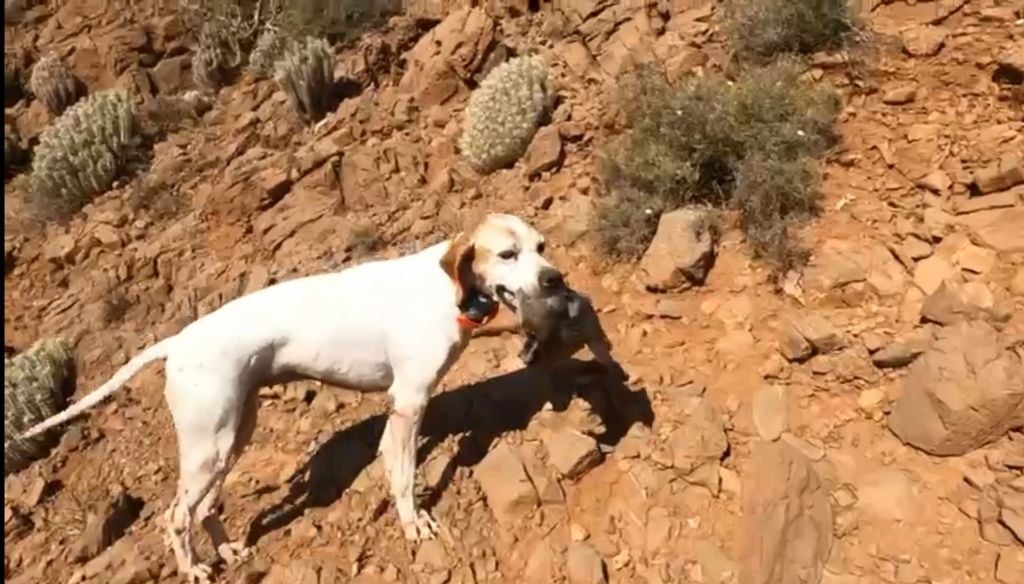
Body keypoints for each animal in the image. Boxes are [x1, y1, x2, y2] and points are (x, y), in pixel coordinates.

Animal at [19, 214, 565, 581]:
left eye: (541, 246)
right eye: (508, 254)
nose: (554, 278)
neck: (446, 286)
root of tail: (177, 342)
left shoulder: (403, 410)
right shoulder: (409, 404)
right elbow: (405, 477)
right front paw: (415, 525)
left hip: (233, 435)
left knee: (206, 508)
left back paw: (229, 553)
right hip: (208, 446)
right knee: (176, 517)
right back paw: (194, 569)